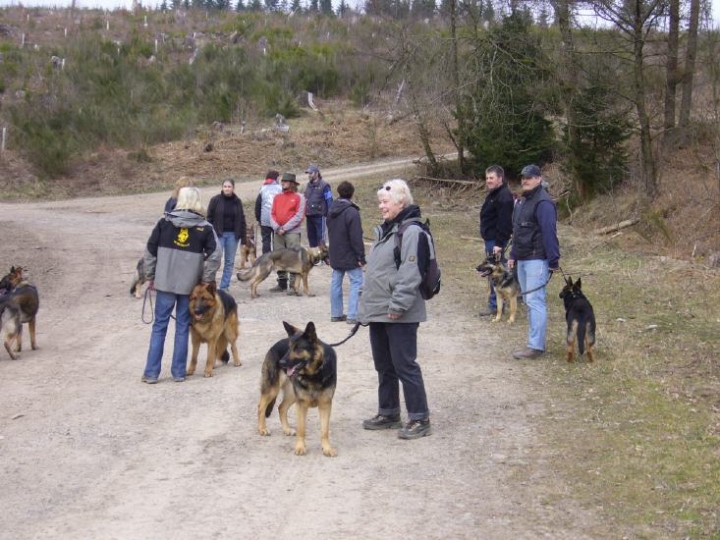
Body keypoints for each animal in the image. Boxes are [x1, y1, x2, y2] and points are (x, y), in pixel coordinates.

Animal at [258, 322, 338, 458]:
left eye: (297, 348)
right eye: (289, 348)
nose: (281, 363)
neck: (314, 374)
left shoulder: (325, 404)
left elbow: (324, 431)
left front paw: (327, 448)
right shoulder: (301, 405)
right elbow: (302, 429)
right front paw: (300, 447)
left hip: (292, 394)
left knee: (281, 408)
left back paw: (286, 429)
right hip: (273, 390)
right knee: (261, 407)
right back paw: (262, 429)